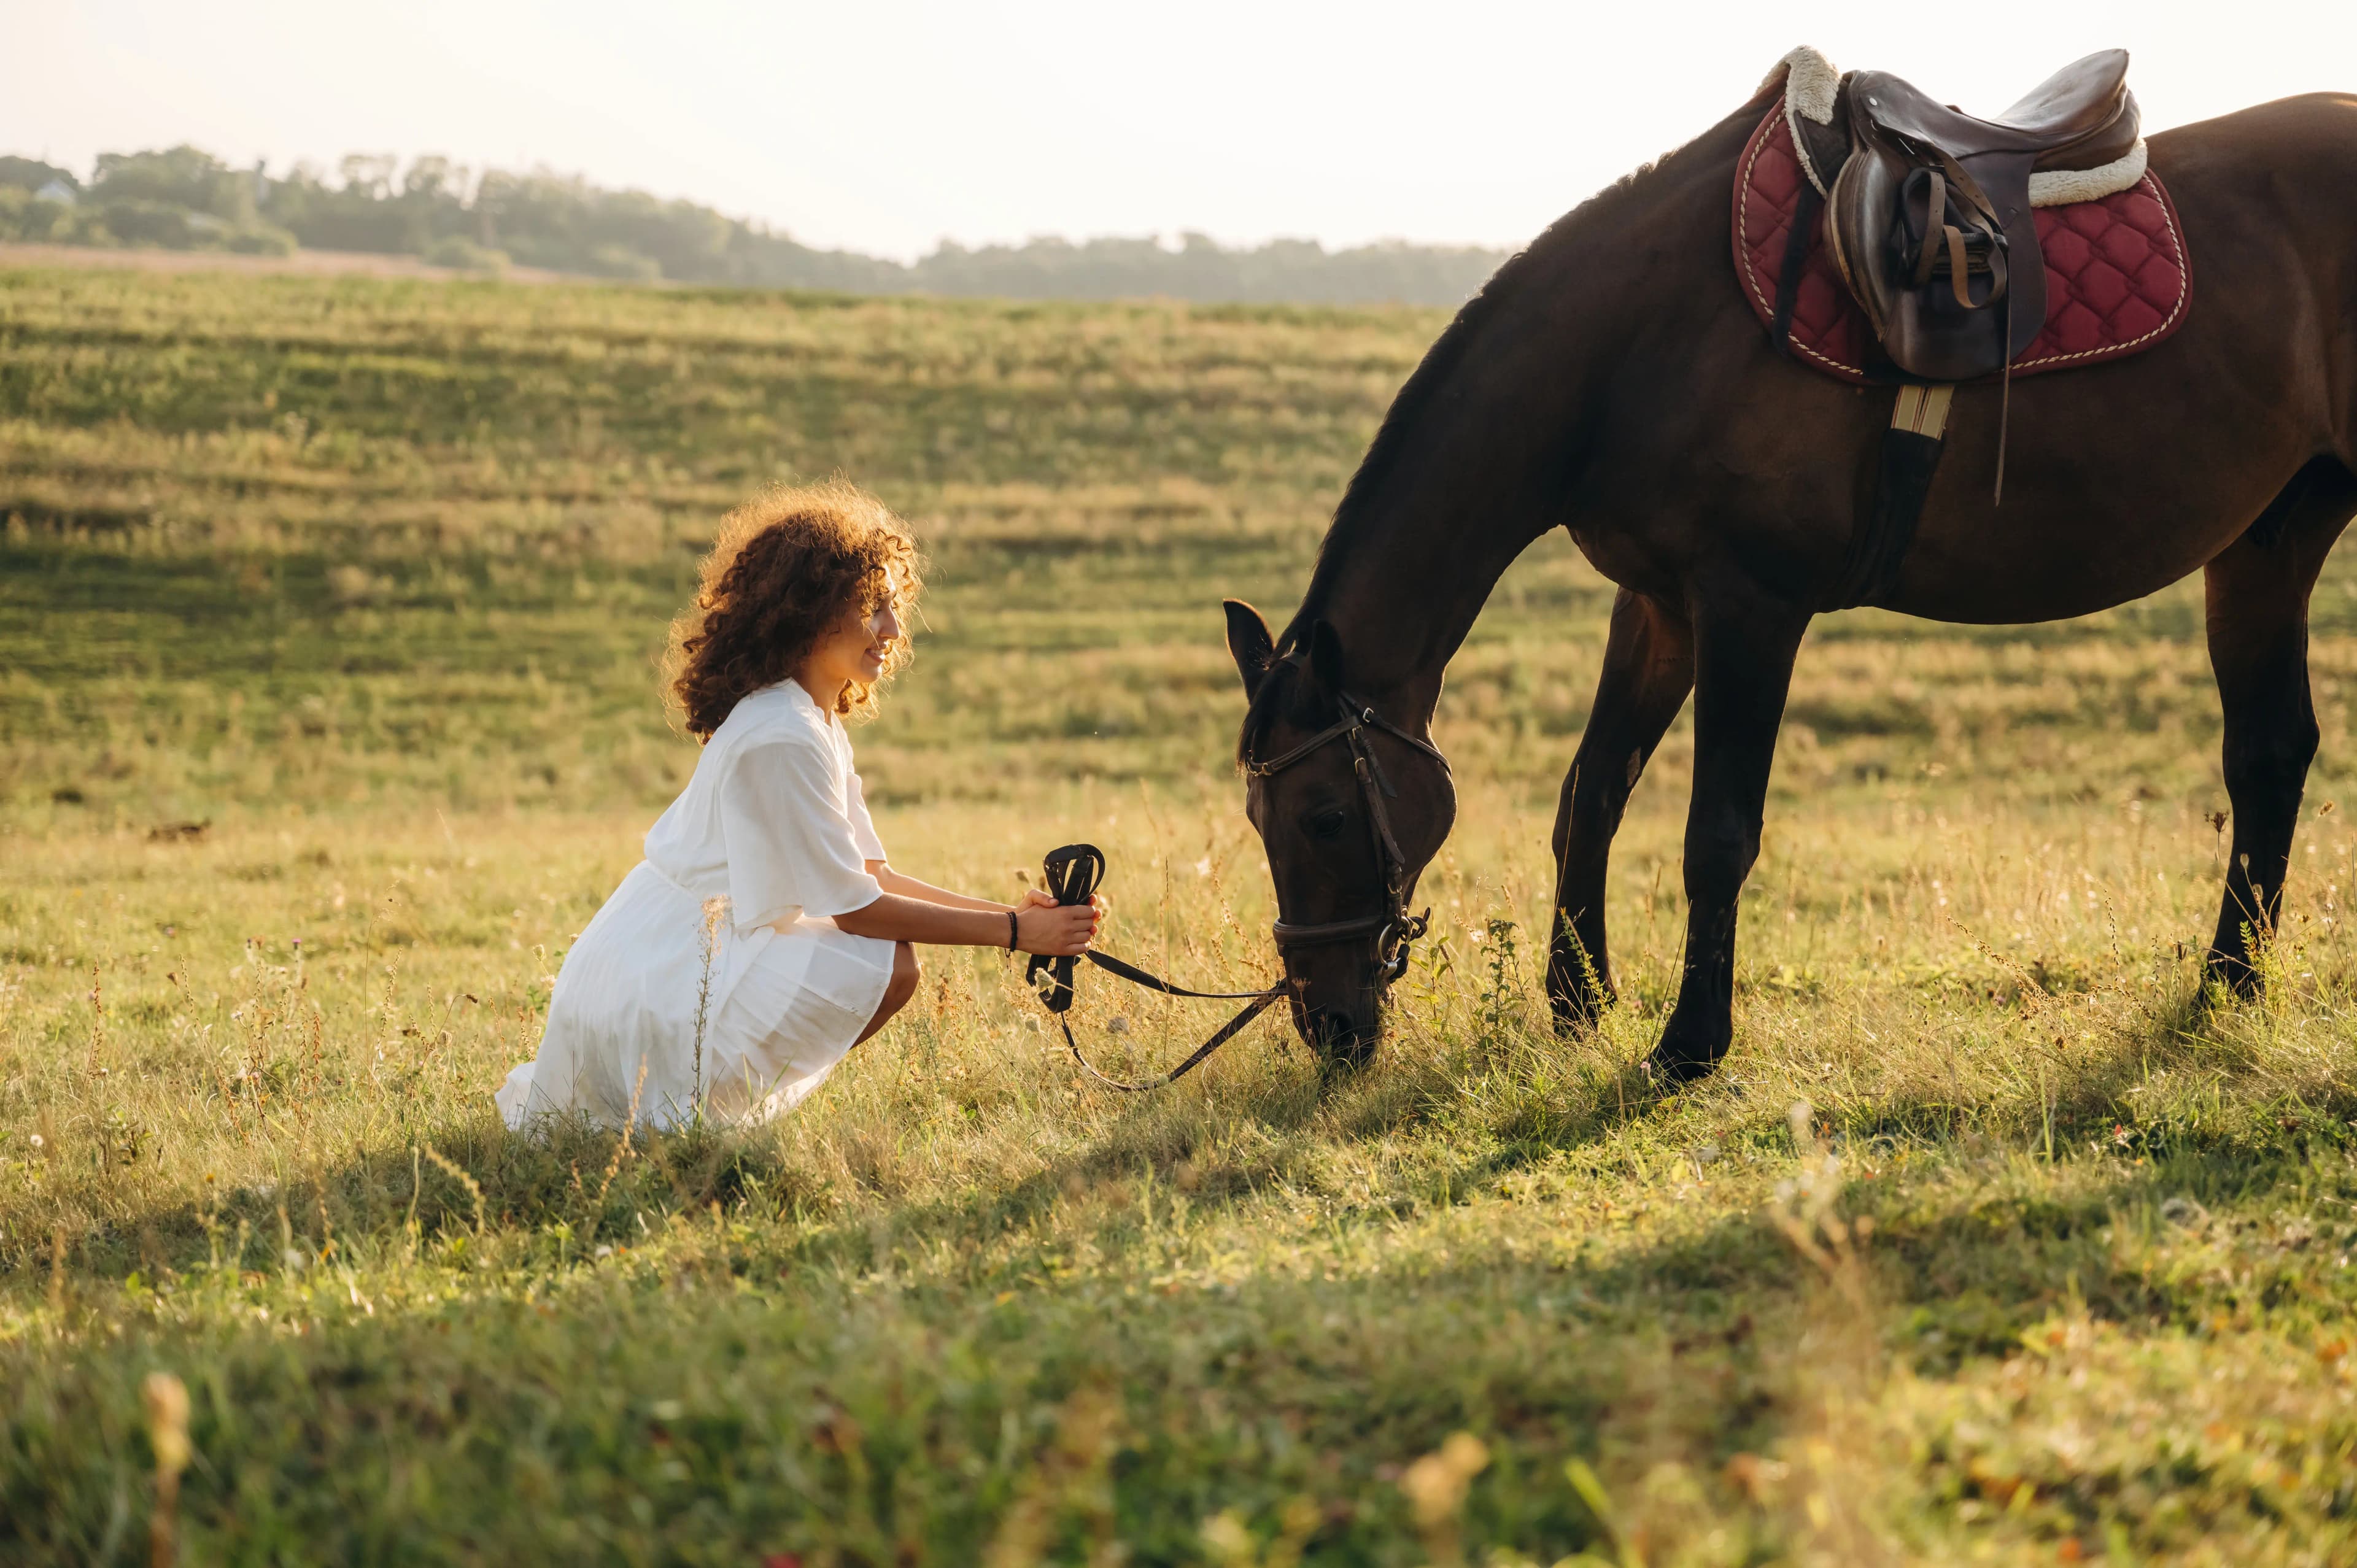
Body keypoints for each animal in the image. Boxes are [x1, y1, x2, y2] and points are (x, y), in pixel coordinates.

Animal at [1223, 69, 2357, 1082]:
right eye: (1256, 821)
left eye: (1325, 817)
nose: (1328, 1026)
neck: (1639, 342)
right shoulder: (1659, 607)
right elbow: (1591, 795)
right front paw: (1579, 1002)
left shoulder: (1750, 607)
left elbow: (1716, 835)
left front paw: (1688, 1046)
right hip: (2270, 540)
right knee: (2269, 755)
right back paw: (2227, 989)